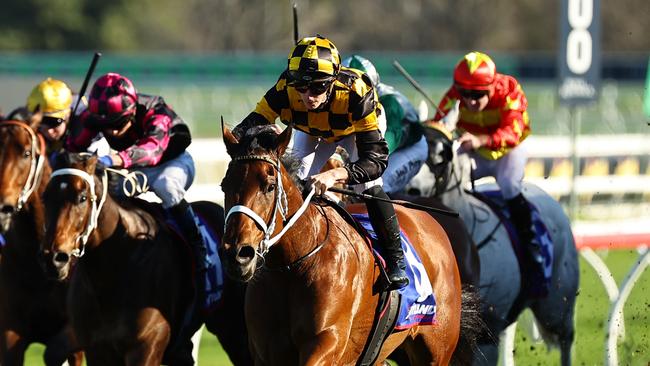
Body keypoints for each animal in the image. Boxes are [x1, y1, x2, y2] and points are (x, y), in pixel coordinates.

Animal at [39, 153, 249, 364]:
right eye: (45, 197)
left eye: (82, 198)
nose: (54, 259)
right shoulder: (97, 349)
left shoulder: (146, 345)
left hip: (233, 330)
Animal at [221, 126, 460, 366]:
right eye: (224, 186)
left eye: (270, 186)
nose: (238, 254)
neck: (293, 264)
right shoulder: (265, 351)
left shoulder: (328, 341)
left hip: (436, 350)